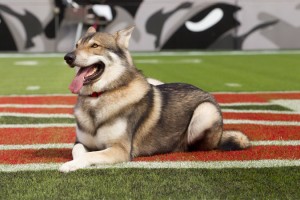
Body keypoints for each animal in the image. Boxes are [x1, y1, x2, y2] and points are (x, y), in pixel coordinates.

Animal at [59, 25, 251, 173]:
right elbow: (80, 152)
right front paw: (74, 162)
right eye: (76, 45)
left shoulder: (120, 149)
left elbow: (91, 155)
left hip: (205, 111)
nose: (68, 57)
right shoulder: (80, 142)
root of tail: (206, 92)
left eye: (95, 45)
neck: (98, 97)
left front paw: (69, 165)